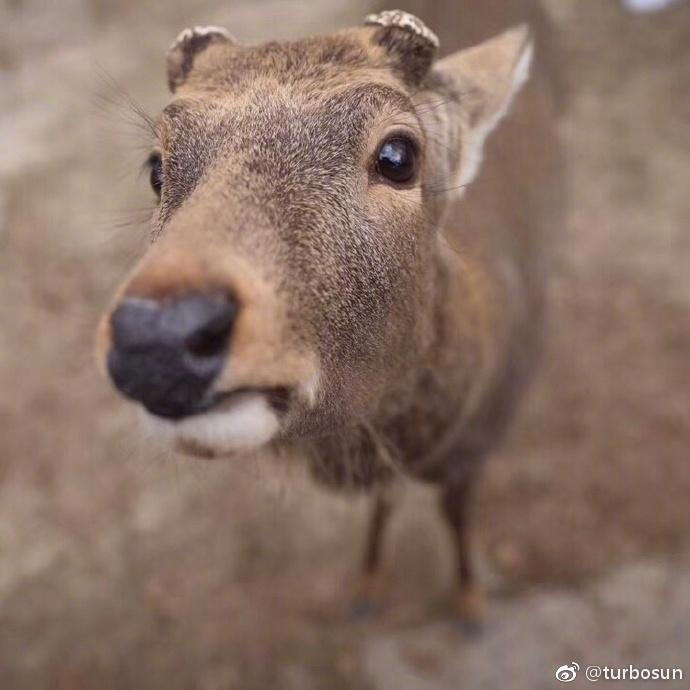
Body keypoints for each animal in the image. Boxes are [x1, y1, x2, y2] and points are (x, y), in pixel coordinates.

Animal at [95, 8, 560, 620]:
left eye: (398, 155)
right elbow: (386, 503)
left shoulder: (479, 447)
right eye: (156, 167)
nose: (156, 335)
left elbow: (456, 514)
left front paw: (470, 600)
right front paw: (366, 588)